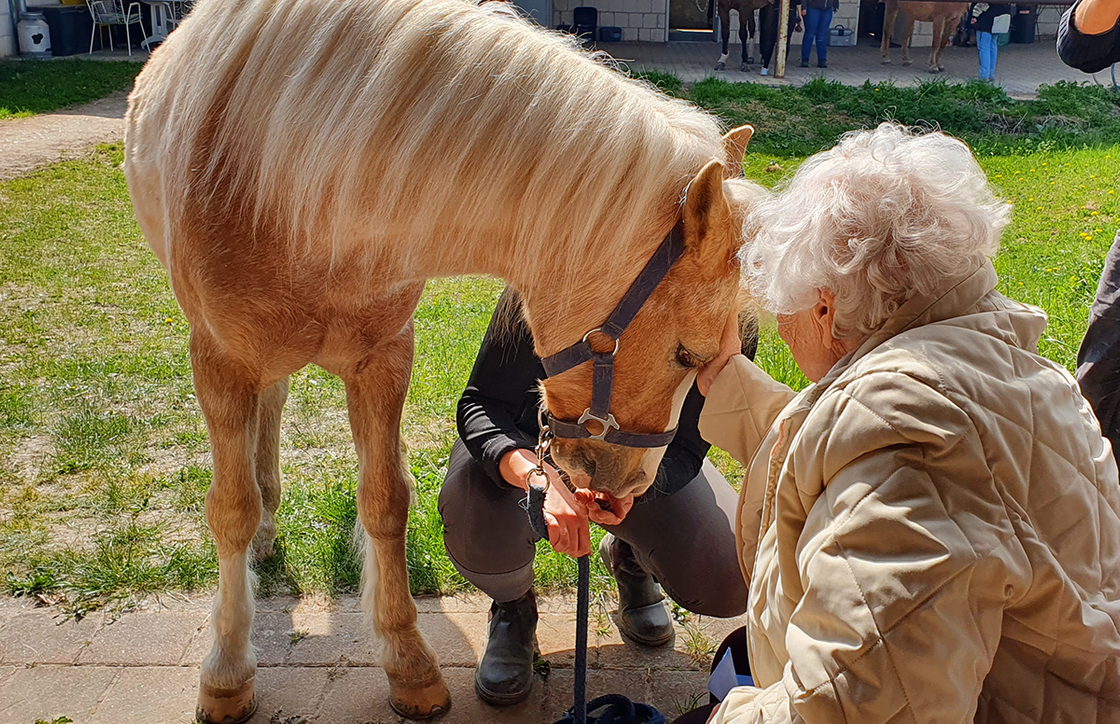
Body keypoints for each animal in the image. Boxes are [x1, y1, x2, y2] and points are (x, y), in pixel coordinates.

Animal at [123, 0, 761, 721]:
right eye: (686, 353)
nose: (628, 483)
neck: (283, 178)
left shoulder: (384, 357)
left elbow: (385, 500)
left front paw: (408, 662)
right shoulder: (220, 358)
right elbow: (228, 510)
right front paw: (228, 673)